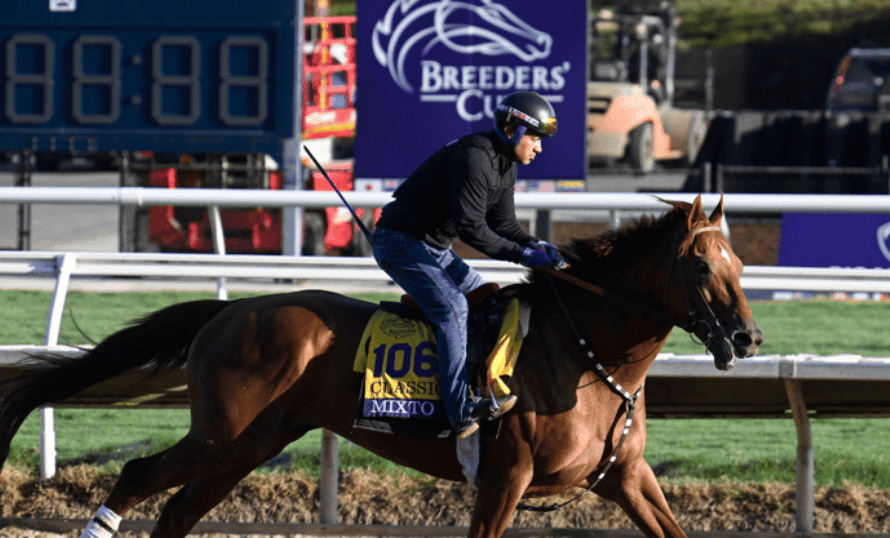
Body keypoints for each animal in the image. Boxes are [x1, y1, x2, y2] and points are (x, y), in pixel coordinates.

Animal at [0, 195, 764, 536]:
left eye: (740, 262)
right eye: (702, 265)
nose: (749, 337)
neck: (588, 358)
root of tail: (229, 309)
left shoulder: (625, 476)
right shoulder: (505, 476)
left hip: (252, 442)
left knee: (181, 508)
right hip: (223, 434)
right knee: (139, 476)